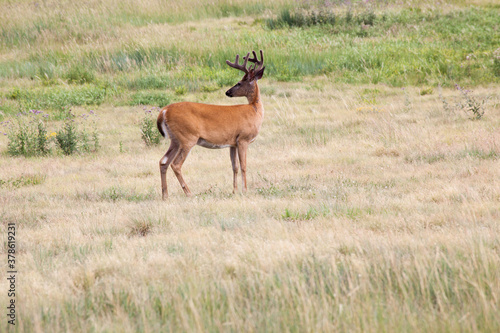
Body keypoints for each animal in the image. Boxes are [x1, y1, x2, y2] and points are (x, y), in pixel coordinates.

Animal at [156, 49, 266, 198]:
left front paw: (234, 191)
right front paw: (245, 190)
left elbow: (235, 166)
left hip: (175, 140)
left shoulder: (233, 142)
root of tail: (164, 111)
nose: (228, 92)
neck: (254, 110)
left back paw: (165, 196)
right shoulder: (243, 138)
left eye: (238, 83)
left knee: (163, 162)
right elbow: (243, 166)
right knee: (176, 164)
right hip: (187, 137)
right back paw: (189, 193)